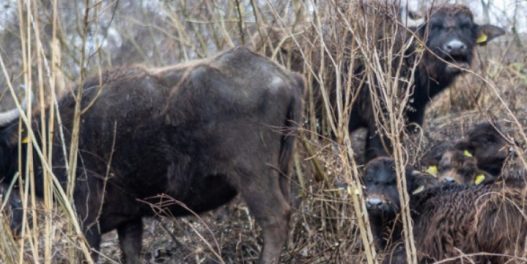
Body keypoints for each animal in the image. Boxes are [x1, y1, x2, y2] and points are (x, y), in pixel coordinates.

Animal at [0, 47, 306, 264]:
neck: (55, 138)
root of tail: (285, 77)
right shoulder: (129, 220)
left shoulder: (86, 218)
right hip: (282, 170)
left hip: (253, 176)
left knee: (275, 218)